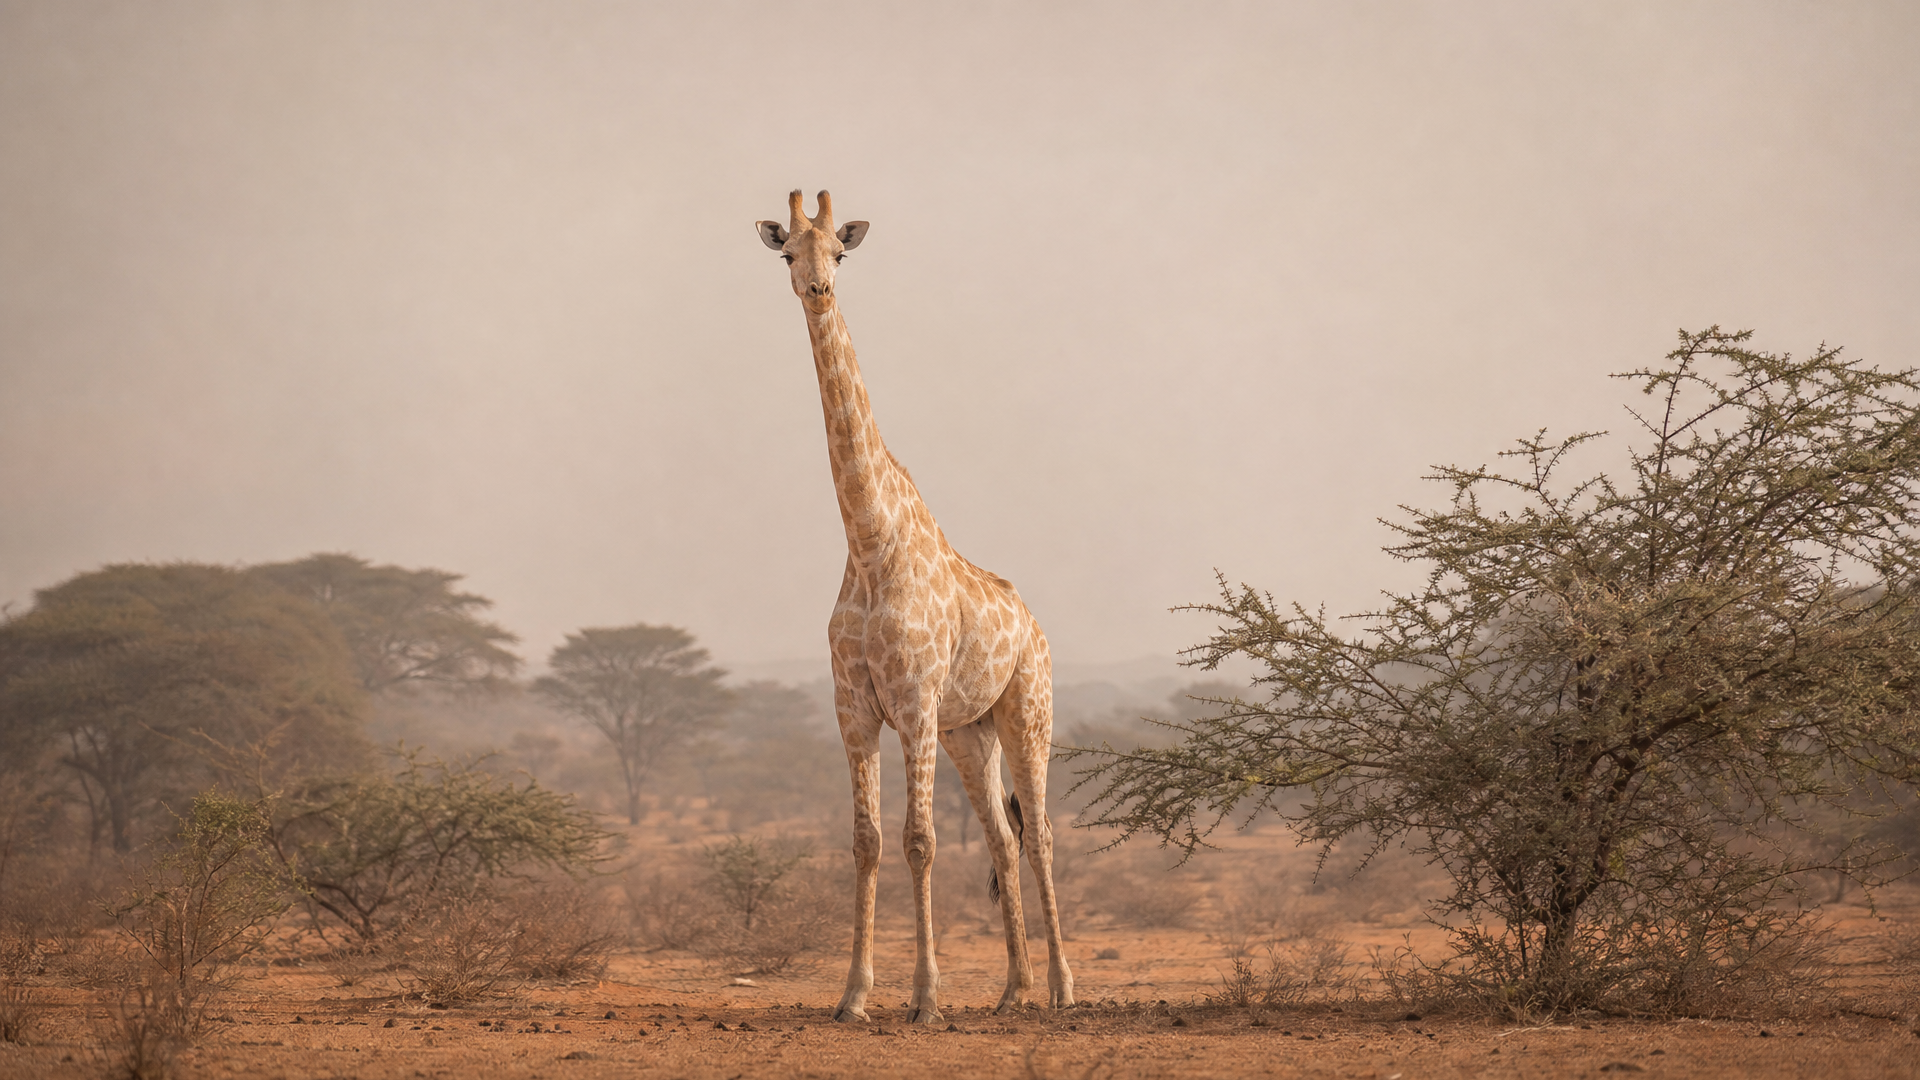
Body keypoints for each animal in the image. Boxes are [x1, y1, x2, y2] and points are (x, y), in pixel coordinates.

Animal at [756, 190, 1074, 1025]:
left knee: (1041, 832)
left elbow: (920, 840)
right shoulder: (856, 708)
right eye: (787, 252)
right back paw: (1011, 990)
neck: (870, 542)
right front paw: (853, 996)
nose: (817, 290)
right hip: (971, 731)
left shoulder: (917, 702)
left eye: (840, 251)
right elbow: (867, 840)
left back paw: (1061, 988)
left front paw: (925, 998)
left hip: (1026, 710)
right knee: (1002, 838)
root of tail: (1034, 624)